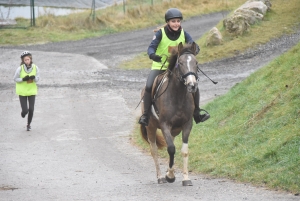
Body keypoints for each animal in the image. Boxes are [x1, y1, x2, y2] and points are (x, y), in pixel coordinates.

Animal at [140, 41, 199, 186]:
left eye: (196, 63)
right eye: (181, 63)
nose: (192, 85)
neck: (178, 96)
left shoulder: (187, 124)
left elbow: (184, 151)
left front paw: (185, 178)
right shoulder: (165, 124)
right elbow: (171, 149)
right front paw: (170, 176)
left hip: (175, 130)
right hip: (151, 127)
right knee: (154, 150)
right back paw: (161, 177)